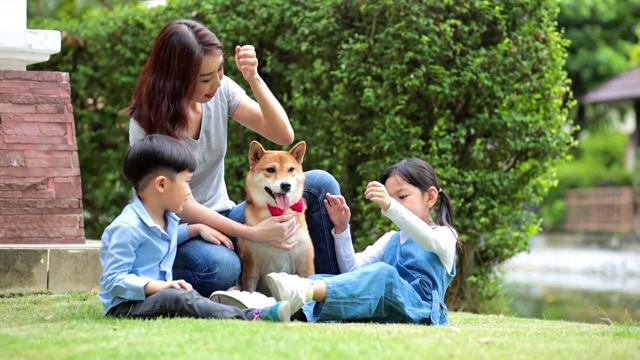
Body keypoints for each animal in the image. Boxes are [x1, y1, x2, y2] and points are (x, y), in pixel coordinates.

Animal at [236, 140, 314, 296]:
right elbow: (250, 290)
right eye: (271, 170)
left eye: (291, 169)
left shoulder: (305, 264)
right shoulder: (252, 268)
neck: (279, 213)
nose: (286, 185)